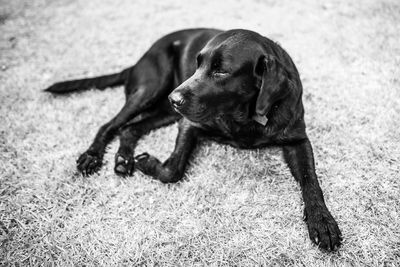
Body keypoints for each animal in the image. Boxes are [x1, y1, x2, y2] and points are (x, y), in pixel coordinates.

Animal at [46, 28, 340, 251]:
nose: (174, 98)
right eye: (197, 64)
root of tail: (142, 56)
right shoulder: (190, 124)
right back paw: (92, 156)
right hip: (151, 90)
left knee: (130, 129)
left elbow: (311, 181)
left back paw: (123, 159)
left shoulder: (298, 140)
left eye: (221, 71)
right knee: (110, 125)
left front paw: (322, 222)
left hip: (164, 111)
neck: (246, 116)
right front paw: (148, 164)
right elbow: (174, 170)